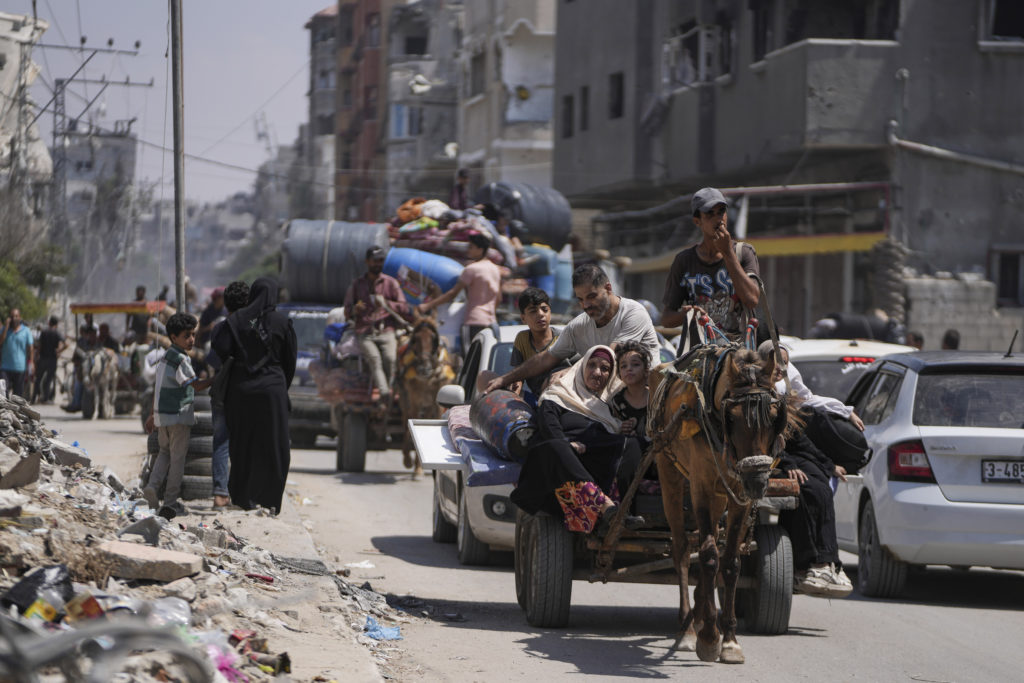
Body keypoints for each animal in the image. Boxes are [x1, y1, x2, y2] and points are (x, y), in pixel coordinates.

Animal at [395, 319, 456, 475]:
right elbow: (411, 424)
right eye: (415, 340)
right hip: (404, 398)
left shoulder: (435, 402)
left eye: (434, 339)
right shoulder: (414, 400)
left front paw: (418, 468)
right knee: (405, 419)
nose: (424, 369)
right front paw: (410, 462)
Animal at [647, 344, 790, 663]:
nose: (758, 482)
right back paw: (688, 629)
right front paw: (710, 638)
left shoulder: (738, 495)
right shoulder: (700, 485)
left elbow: (731, 562)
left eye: (775, 415)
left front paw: (730, 640)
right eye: (732, 417)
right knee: (683, 549)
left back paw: (699, 615)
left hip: (720, 494)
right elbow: (710, 556)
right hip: (669, 468)